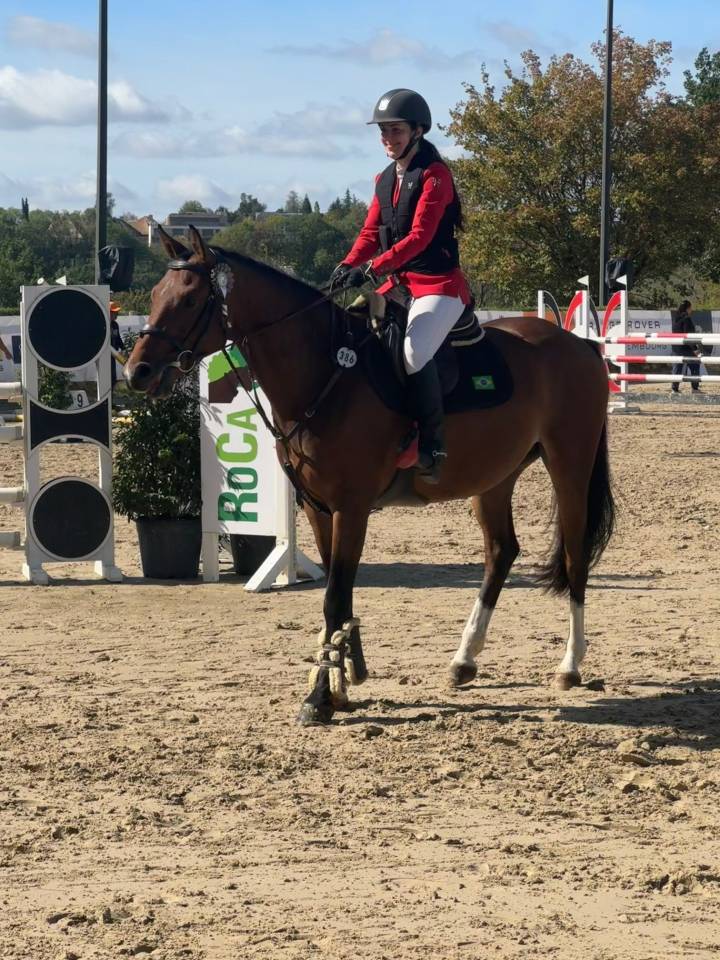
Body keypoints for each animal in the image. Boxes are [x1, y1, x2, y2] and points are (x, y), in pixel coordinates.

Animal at [126, 225, 615, 726]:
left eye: (189, 300)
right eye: (155, 294)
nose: (137, 371)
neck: (325, 371)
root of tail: (577, 345)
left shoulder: (351, 508)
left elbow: (334, 597)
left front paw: (320, 694)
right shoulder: (319, 509)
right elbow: (339, 597)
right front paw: (343, 679)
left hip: (569, 465)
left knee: (575, 556)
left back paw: (569, 666)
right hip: (494, 478)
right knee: (501, 552)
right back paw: (463, 661)